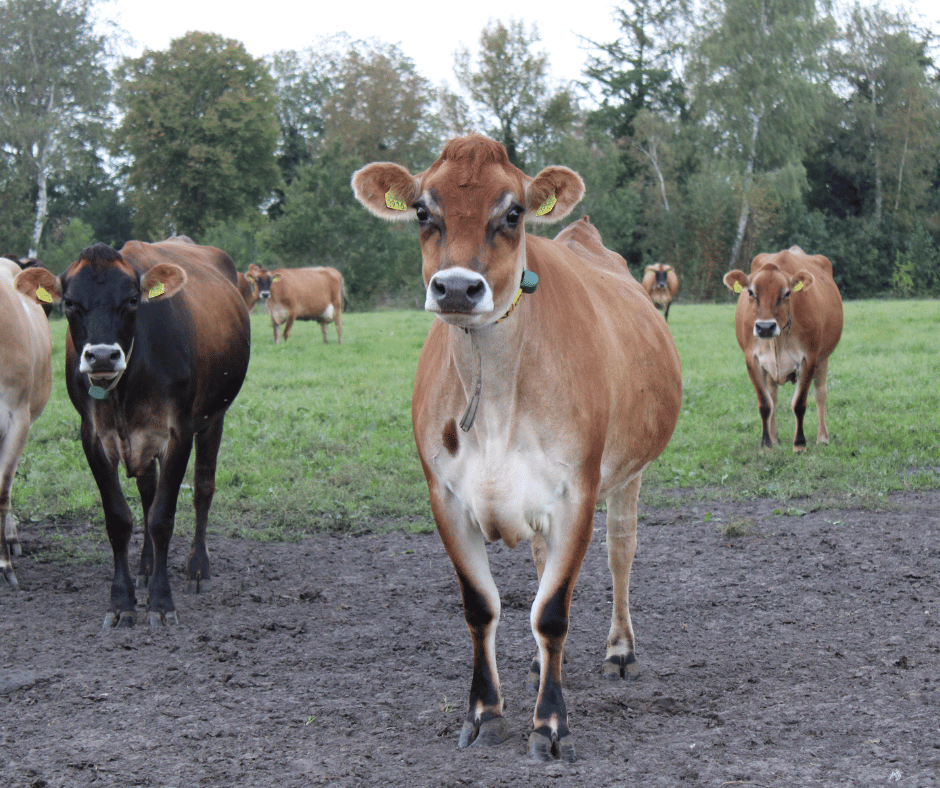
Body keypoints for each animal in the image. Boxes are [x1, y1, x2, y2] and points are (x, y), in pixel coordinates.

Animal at [14, 240, 250, 627]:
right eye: (70, 303)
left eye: (132, 300)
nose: (102, 356)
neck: (126, 385)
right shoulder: (94, 437)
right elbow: (120, 517)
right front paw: (122, 600)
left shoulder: (178, 432)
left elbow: (162, 516)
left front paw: (161, 602)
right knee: (147, 492)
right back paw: (146, 566)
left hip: (213, 417)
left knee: (203, 488)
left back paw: (198, 569)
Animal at [352, 135, 682, 762]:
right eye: (422, 211)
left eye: (513, 213)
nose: (457, 288)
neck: (496, 405)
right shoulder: (446, 496)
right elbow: (483, 607)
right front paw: (485, 712)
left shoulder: (576, 493)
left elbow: (551, 612)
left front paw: (550, 726)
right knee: (538, 566)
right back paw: (535, 665)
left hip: (629, 472)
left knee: (621, 552)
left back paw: (620, 650)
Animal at [723, 246, 843, 452]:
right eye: (751, 292)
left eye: (787, 293)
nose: (765, 327)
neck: (777, 340)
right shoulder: (752, 360)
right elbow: (765, 404)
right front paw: (766, 444)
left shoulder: (809, 358)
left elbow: (799, 403)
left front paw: (800, 444)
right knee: (773, 396)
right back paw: (774, 436)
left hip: (823, 358)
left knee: (820, 394)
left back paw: (822, 437)